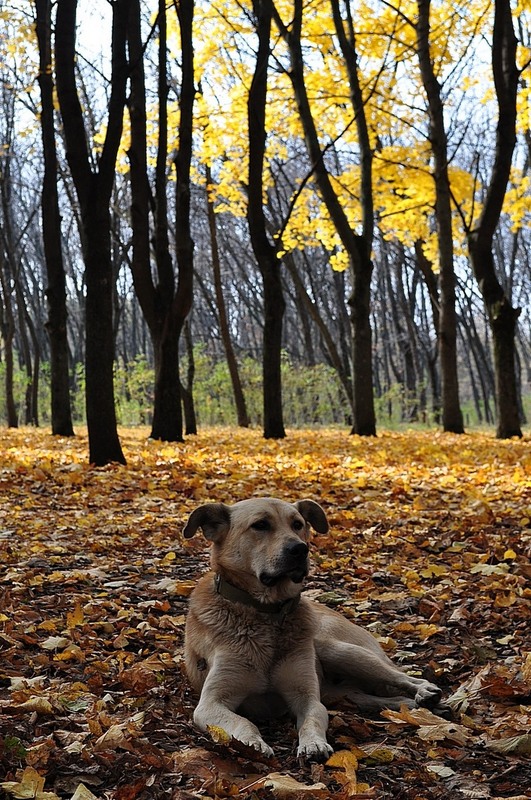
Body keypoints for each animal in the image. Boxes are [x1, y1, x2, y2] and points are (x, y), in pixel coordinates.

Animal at [183, 496, 440, 760]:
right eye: (260, 525)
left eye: (297, 524)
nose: (300, 549)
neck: (267, 613)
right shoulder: (211, 703)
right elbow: (244, 721)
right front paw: (252, 742)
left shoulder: (308, 697)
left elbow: (312, 719)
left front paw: (314, 743)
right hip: (336, 688)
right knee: (365, 697)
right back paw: (407, 704)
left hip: (337, 650)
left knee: (400, 676)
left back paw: (425, 691)